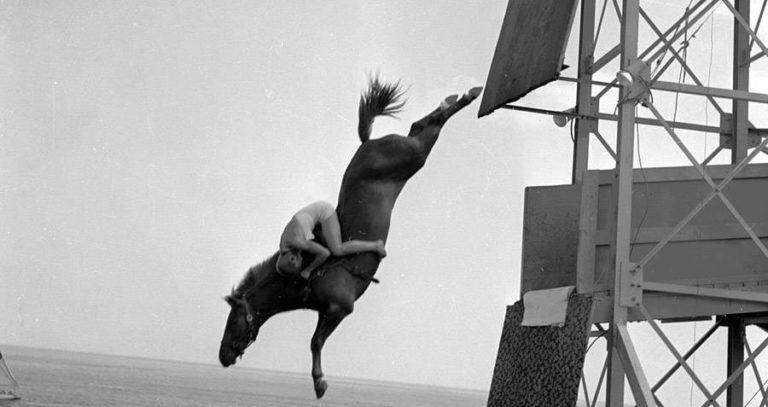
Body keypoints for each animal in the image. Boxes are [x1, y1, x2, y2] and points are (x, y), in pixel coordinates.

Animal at [218, 77, 482, 399]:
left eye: (233, 321)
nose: (222, 356)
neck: (308, 275)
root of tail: (367, 142)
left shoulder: (338, 309)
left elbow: (315, 342)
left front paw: (319, 382)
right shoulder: (327, 311)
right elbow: (316, 341)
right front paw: (319, 380)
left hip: (412, 156)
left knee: (428, 129)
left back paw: (467, 95)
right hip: (410, 154)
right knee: (420, 125)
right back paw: (456, 97)